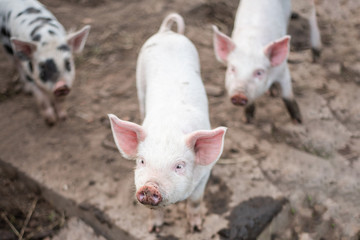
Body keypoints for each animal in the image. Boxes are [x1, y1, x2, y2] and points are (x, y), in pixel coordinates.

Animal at [109, 13, 226, 232]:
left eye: (179, 166)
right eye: (142, 161)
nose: (149, 187)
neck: (169, 128)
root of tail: (167, 32)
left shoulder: (205, 175)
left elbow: (195, 201)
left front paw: (196, 228)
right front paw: (153, 229)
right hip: (140, 78)